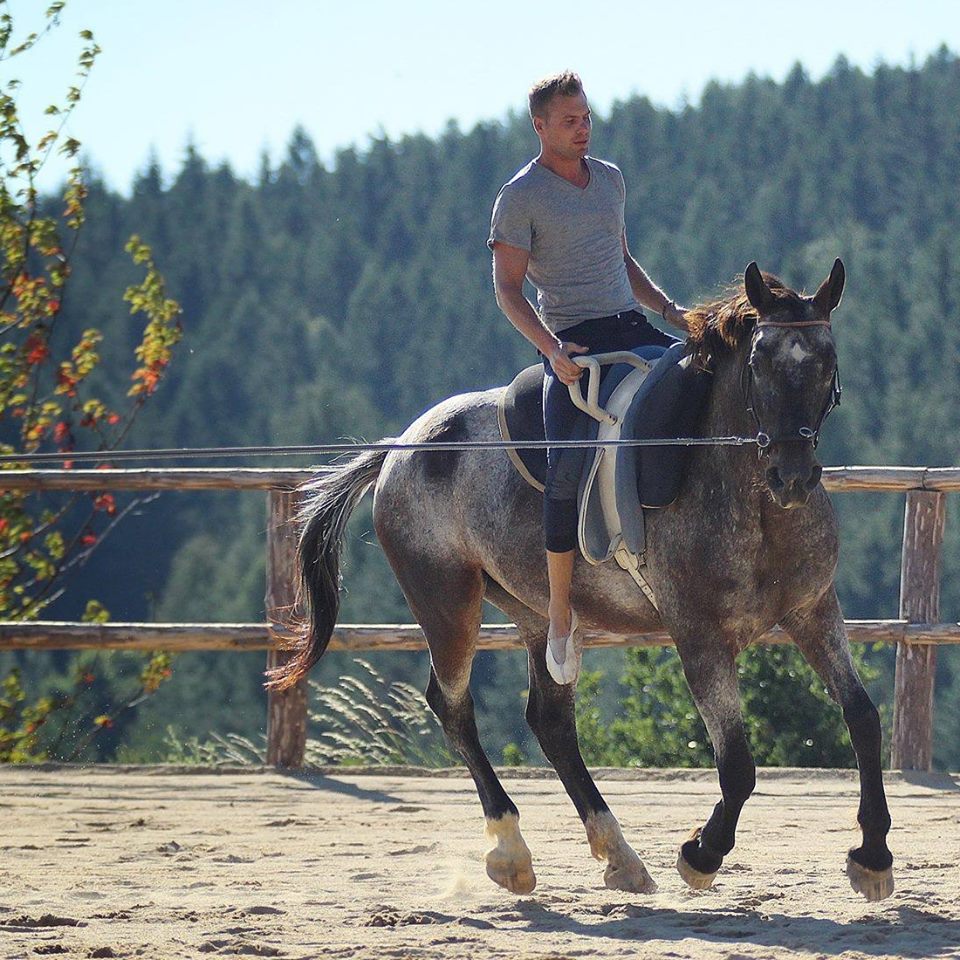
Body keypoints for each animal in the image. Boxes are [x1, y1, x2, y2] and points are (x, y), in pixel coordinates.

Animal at [268, 260, 892, 900]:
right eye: (760, 361)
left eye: (827, 361)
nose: (793, 476)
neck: (749, 496)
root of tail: (401, 448)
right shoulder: (699, 635)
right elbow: (738, 765)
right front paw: (702, 852)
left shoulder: (813, 609)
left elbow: (863, 719)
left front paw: (872, 856)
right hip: (447, 601)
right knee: (453, 707)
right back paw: (511, 850)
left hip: (541, 613)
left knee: (550, 723)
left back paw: (618, 852)